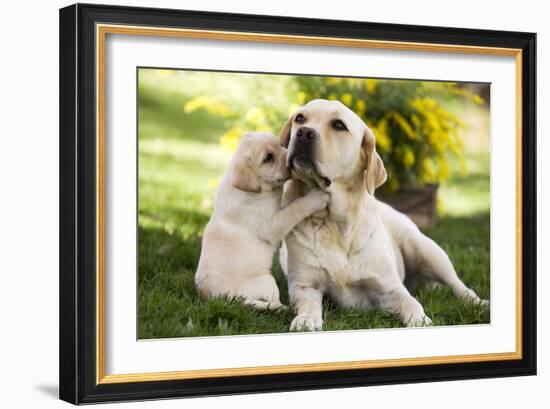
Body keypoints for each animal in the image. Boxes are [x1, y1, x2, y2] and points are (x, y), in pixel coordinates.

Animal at [197, 131, 330, 310]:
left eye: (279, 144)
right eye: (268, 158)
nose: (290, 157)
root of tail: (217, 298)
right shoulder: (274, 224)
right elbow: (295, 208)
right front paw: (316, 197)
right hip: (267, 280)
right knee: (272, 301)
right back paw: (283, 307)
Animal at [280, 99, 488, 332]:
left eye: (338, 125)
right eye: (300, 118)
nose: (304, 132)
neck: (335, 222)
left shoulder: (390, 289)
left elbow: (411, 302)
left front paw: (420, 319)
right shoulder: (304, 285)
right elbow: (307, 303)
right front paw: (306, 318)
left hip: (426, 249)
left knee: (458, 284)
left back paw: (478, 302)